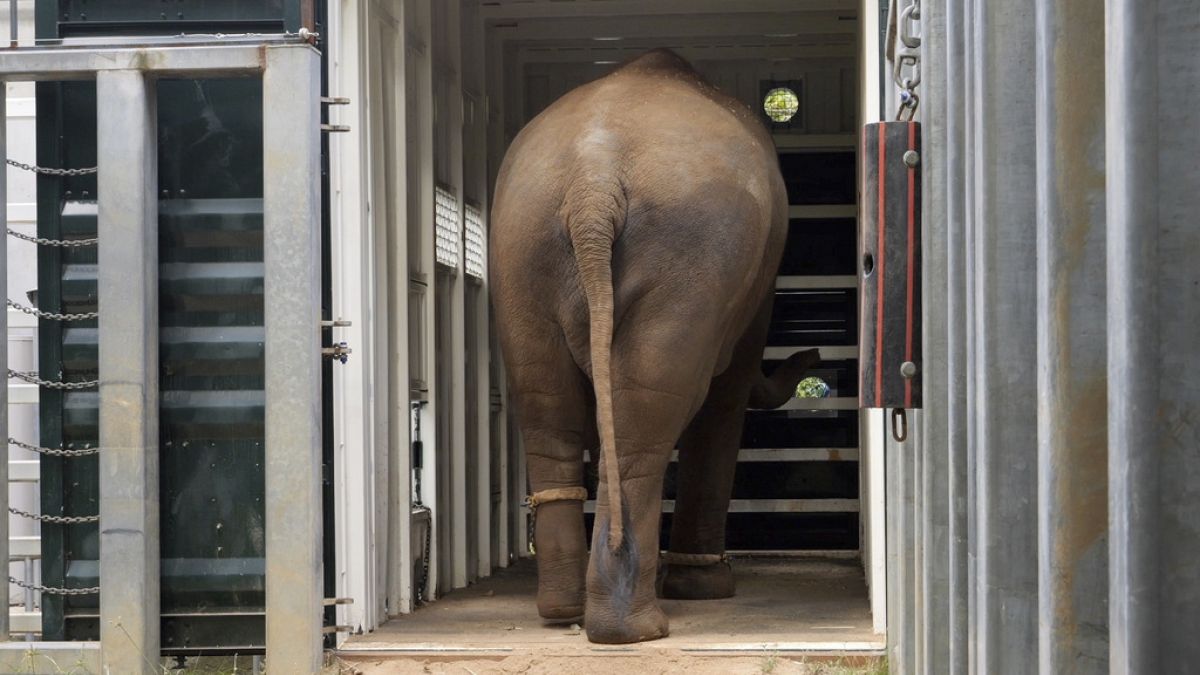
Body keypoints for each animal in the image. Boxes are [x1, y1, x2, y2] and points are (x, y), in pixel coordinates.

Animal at [492, 48, 820, 638]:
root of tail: (593, 181)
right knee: (648, 410)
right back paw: (634, 629)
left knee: (547, 404)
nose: (814, 356)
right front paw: (708, 589)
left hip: (522, 247)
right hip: (687, 254)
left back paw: (564, 612)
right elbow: (726, 396)